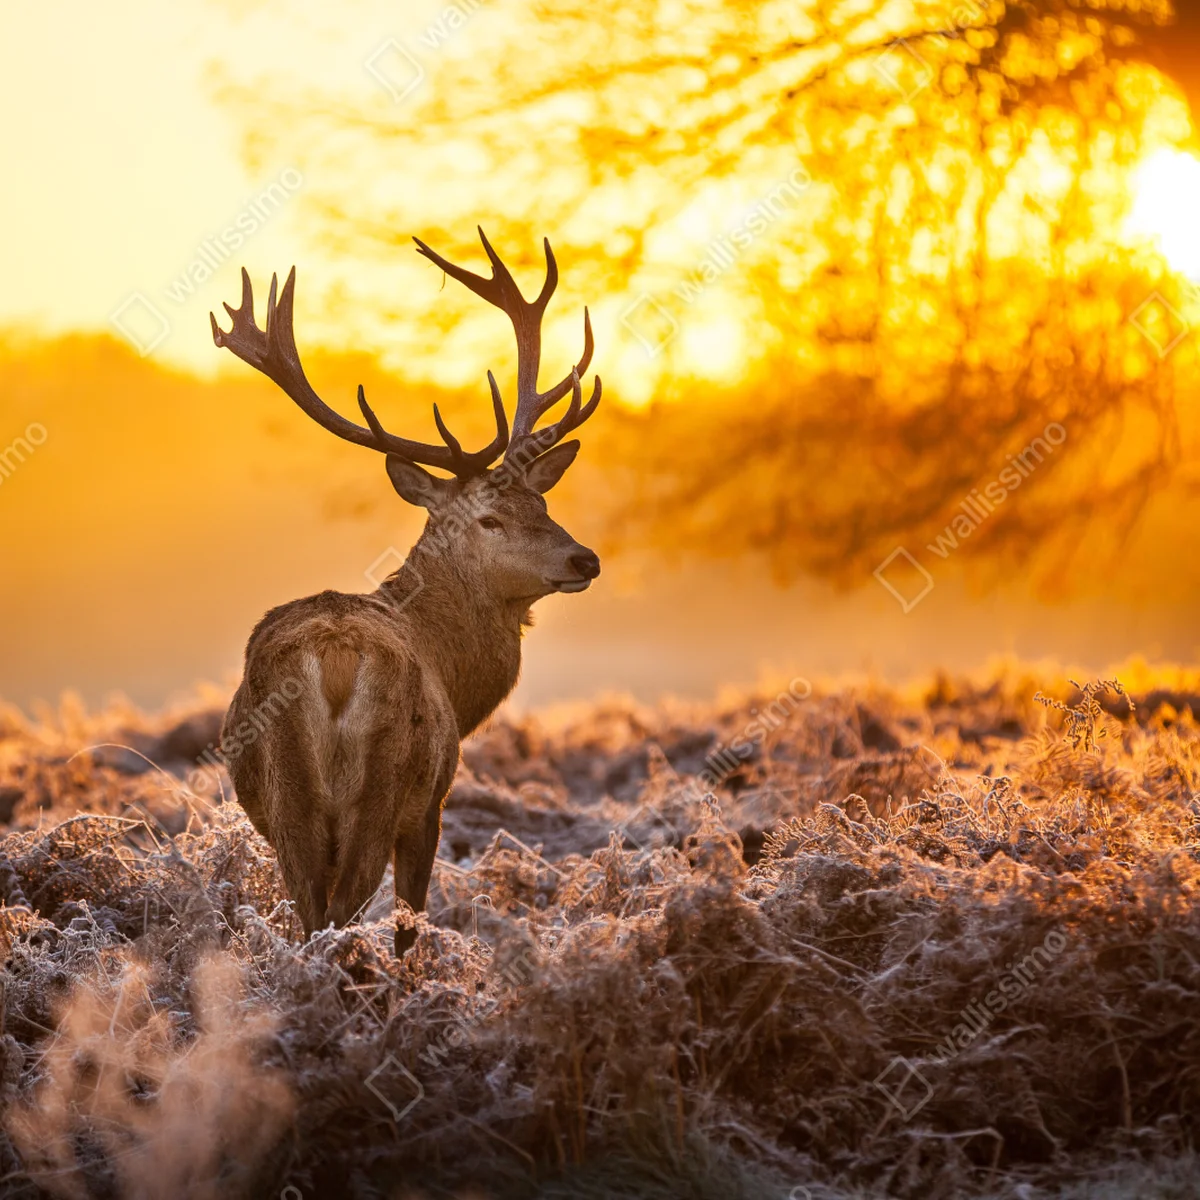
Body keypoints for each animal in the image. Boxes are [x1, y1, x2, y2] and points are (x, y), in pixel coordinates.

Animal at [209, 228, 601, 954]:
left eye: (542, 502)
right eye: (489, 518)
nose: (584, 557)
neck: (454, 670)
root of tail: (334, 660)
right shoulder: (432, 803)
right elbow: (410, 921)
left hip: (287, 801)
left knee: (311, 916)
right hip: (384, 785)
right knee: (344, 912)